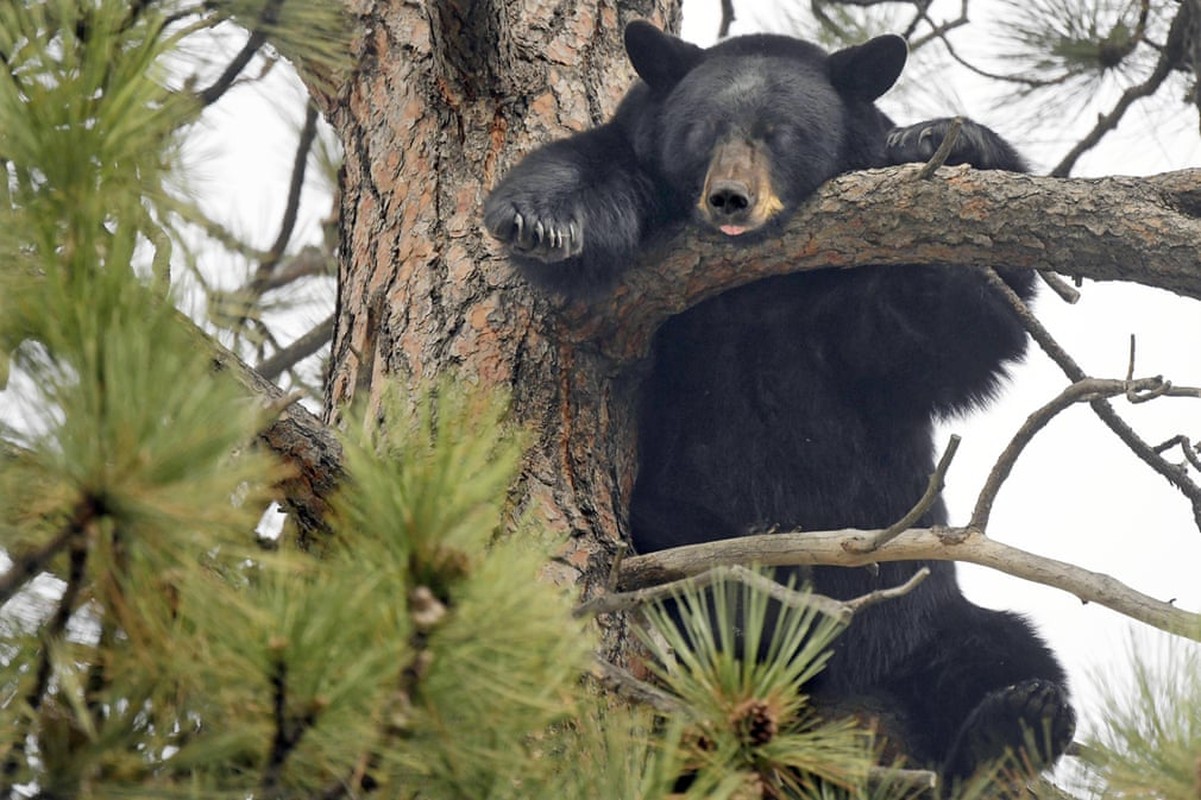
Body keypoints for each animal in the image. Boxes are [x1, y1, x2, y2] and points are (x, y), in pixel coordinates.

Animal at [482, 20, 1076, 792]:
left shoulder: (851, 320)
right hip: (677, 541)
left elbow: (962, 326)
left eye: (783, 134)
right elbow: (588, 172)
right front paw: (540, 219)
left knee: (1003, 651)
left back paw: (1016, 715)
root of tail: (844, 709)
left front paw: (941, 141)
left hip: (920, 618)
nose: (729, 199)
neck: (758, 290)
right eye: (702, 130)